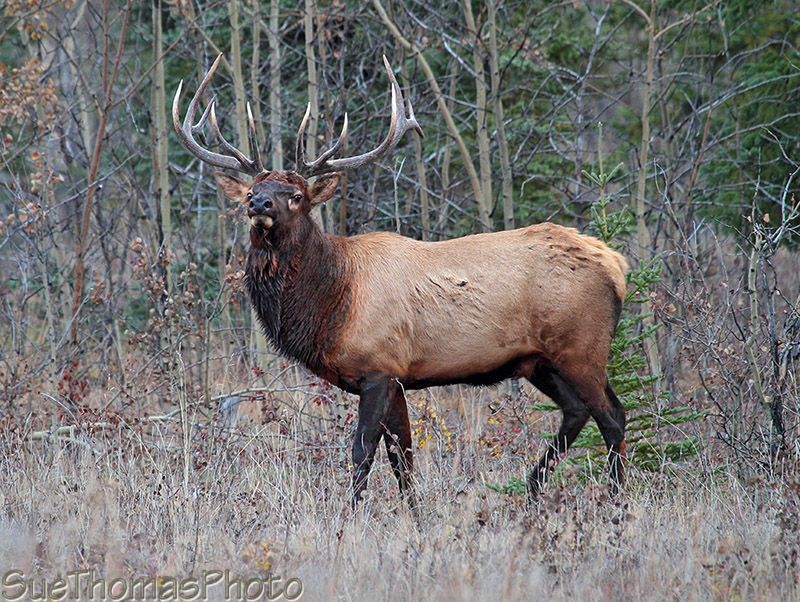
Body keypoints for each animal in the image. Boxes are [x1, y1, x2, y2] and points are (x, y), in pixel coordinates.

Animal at [172, 54, 629, 509]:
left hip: (582, 346)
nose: (260, 204)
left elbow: (364, 450)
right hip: (539, 360)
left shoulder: (379, 367)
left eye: (298, 196)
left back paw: (618, 499)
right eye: (251, 190)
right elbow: (402, 456)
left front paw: (354, 513)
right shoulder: (395, 377)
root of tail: (617, 266)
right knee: (577, 412)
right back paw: (532, 491)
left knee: (612, 414)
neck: (331, 302)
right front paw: (413, 512)